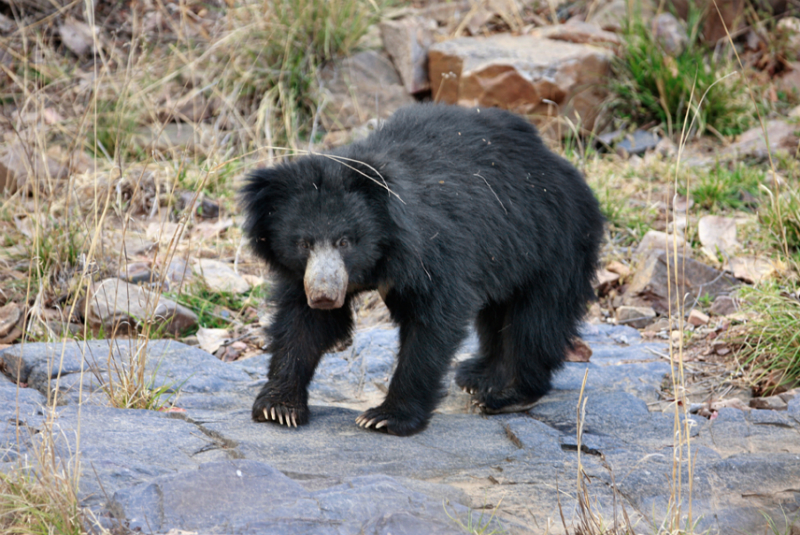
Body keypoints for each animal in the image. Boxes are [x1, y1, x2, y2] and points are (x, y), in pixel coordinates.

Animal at [240, 103, 604, 436]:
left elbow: (433, 322)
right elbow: (303, 324)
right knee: (497, 316)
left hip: (552, 240)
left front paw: (385, 417)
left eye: (345, 241)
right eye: (303, 243)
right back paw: (478, 374)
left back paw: (508, 394)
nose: (325, 296)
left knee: (536, 321)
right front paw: (279, 407)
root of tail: (561, 165)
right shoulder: (305, 274)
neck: (383, 252)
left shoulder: (432, 250)